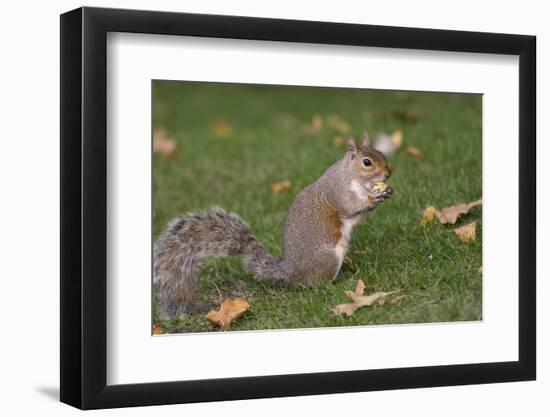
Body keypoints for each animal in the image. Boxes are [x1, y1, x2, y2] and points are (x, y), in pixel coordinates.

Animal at [155, 134, 394, 318]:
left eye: (382, 154)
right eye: (367, 162)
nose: (388, 173)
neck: (350, 176)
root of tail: (291, 273)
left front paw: (384, 193)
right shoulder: (338, 193)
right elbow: (351, 207)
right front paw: (373, 198)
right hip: (328, 258)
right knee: (315, 284)